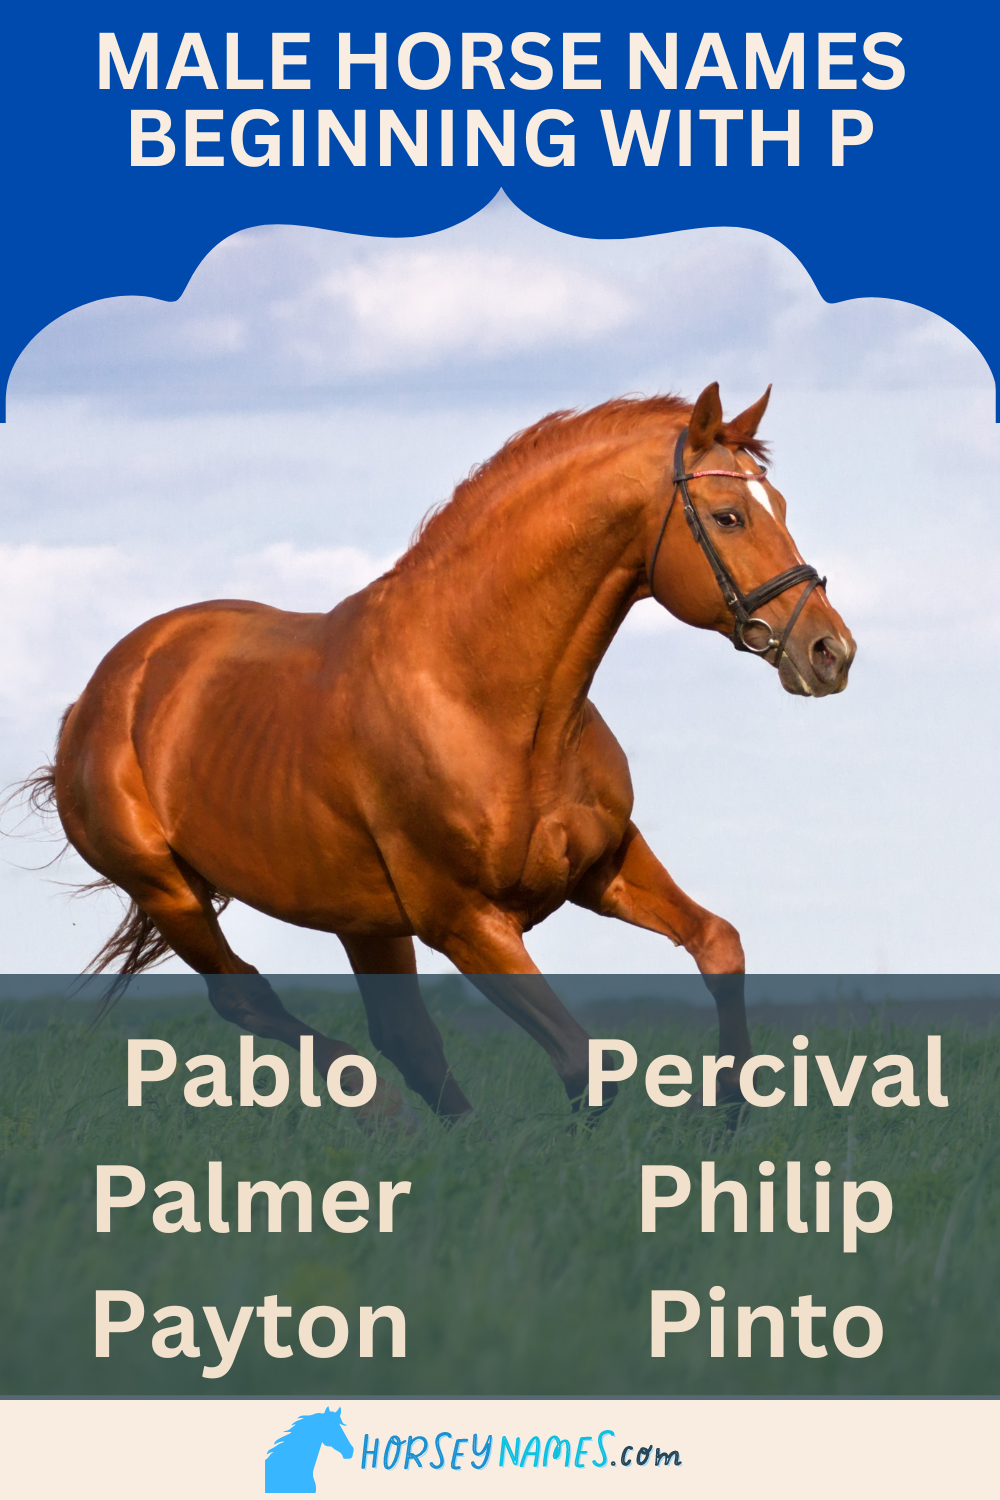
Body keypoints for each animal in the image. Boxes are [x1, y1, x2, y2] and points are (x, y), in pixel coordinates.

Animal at [36, 381, 854, 1122]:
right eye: (728, 515)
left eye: (779, 507)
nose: (830, 652)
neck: (489, 701)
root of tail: (103, 690)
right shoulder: (465, 921)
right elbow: (584, 1063)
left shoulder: (603, 865)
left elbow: (719, 946)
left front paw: (731, 1118)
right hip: (167, 890)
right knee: (251, 998)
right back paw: (384, 1114)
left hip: (363, 922)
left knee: (404, 1037)